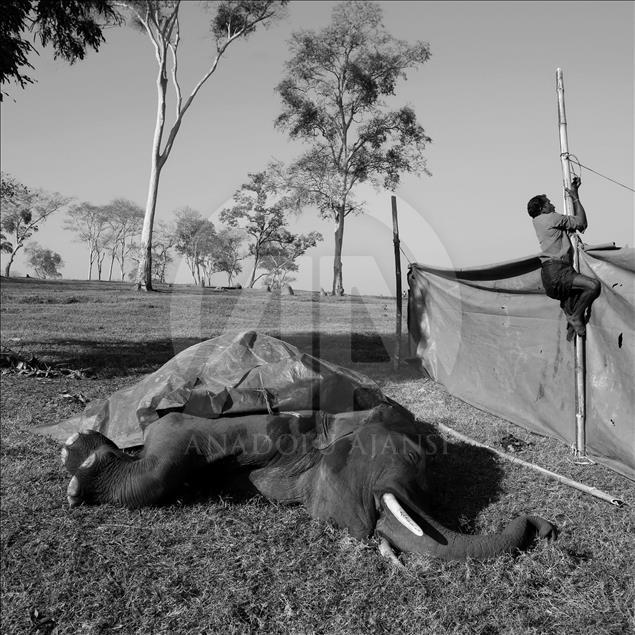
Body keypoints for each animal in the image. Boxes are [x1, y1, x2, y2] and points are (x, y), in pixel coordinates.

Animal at [42, 332, 556, 560]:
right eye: (413, 458)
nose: (545, 526)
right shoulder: (263, 422)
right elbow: (172, 443)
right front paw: (79, 466)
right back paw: (75, 441)